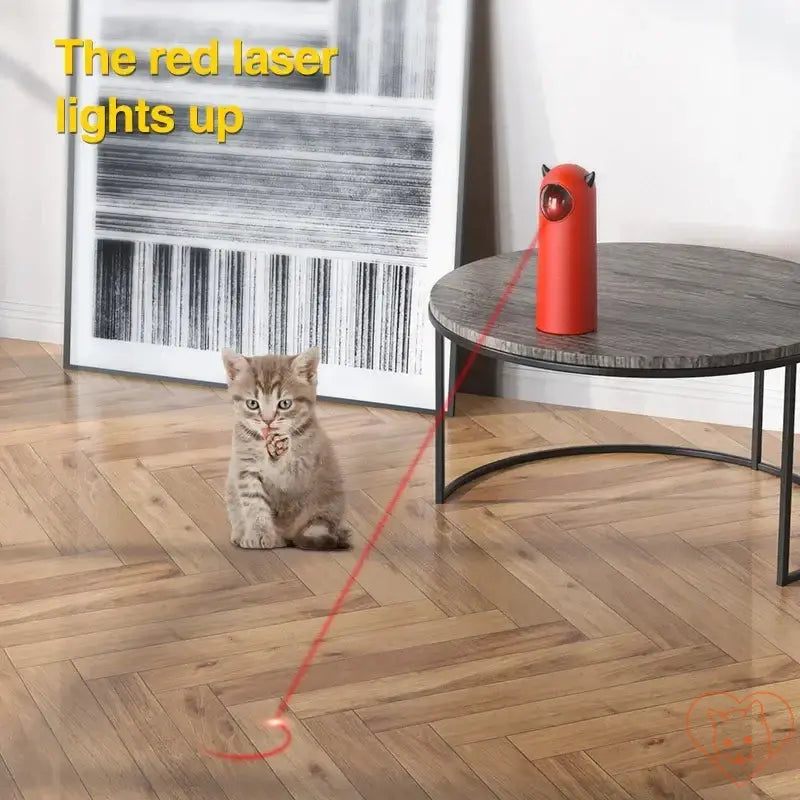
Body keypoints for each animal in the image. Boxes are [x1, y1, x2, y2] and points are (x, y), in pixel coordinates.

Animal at [223, 346, 352, 552]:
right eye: (252, 403)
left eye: (284, 403)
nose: (268, 421)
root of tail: (287, 538)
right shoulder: (244, 469)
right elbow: (254, 504)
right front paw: (258, 533)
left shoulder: (305, 468)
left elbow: (286, 472)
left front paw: (277, 452)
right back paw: (244, 533)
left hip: (330, 497)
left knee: (320, 525)